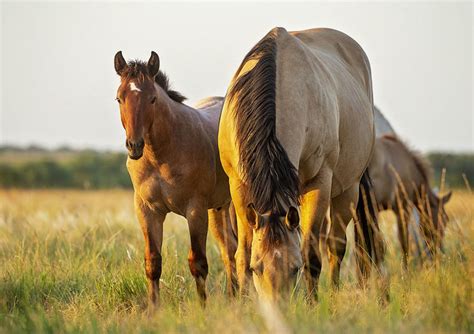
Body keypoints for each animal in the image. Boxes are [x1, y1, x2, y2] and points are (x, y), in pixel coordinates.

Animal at [113, 51, 239, 306]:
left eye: (152, 99)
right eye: (119, 98)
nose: (134, 145)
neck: (161, 155)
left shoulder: (195, 210)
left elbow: (198, 263)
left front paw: (202, 308)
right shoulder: (148, 211)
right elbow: (153, 262)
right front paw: (154, 309)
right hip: (220, 208)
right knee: (229, 250)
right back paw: (234, 298)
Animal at [218, 26, 386, 300]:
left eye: (294, 268)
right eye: (257, 268)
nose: (277, 306)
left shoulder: (318, 184)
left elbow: (312, 254)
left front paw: (312, 303)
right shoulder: (239, 187)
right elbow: (242, 253)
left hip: (348, 192)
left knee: (336, 247)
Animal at [366, 134, 452, 268]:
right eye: (444, 218)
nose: (438, 249)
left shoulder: (376, 211)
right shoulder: (403, 207)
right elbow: (403, 241)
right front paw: (405, 271)